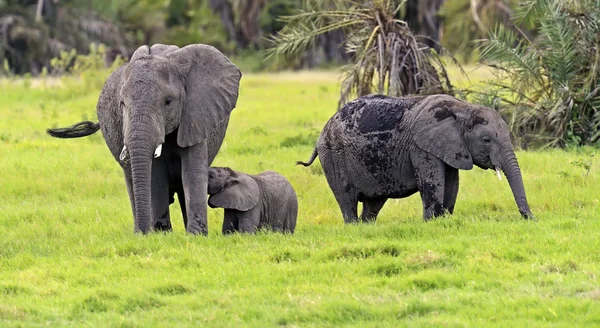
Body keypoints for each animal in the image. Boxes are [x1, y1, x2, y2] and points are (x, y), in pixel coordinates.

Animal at [46, 43, 241, 234]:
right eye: (122, 104)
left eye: (168, 101)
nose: (147, 231)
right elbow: (156, 175)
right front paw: (162, 234)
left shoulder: (195, 116)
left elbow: (192, 172)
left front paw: (195, 236)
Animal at [298, 93, 536, 224]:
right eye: (486, 140)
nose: (531, 218)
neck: (463, 109)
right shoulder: (420, 146)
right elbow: (432, 182)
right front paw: (431, 222)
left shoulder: (450, 147)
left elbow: (452, 183)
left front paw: (444, 219)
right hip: (333, 155)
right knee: (346, 197)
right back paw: (354, 226)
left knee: (374, 203)